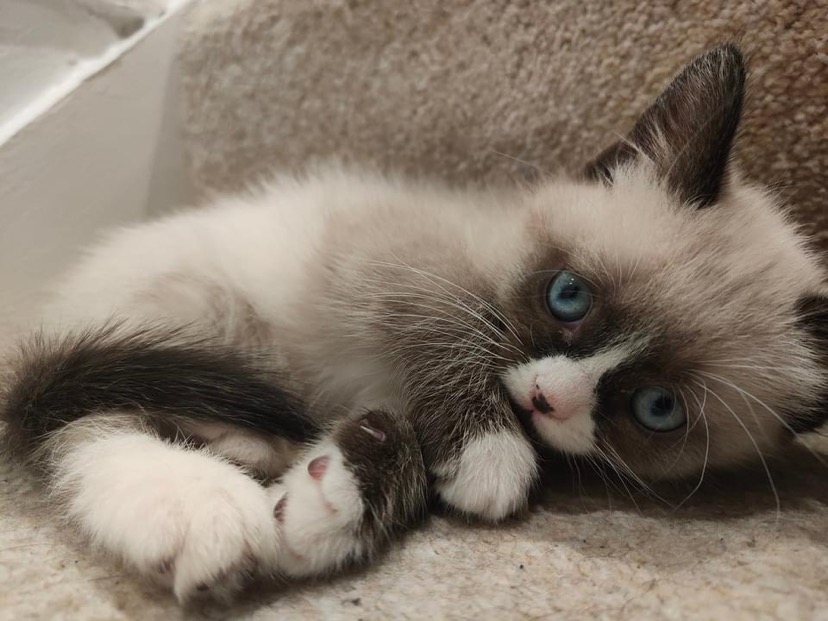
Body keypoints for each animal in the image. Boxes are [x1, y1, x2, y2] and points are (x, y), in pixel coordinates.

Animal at [1, 43, 828, 600]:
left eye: (658, 408)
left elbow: (392, 435)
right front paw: (488, 452)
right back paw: (196, 508)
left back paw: (244, 443)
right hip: (191, 311)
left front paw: (322, 511)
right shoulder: (395, 262)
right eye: (568, 295)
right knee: (87, 421)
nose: (546, 399)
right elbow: (447, 331)